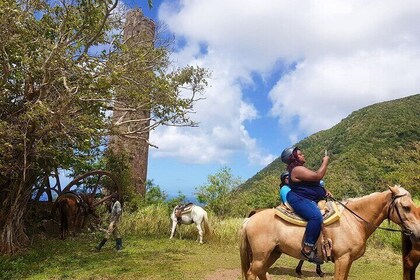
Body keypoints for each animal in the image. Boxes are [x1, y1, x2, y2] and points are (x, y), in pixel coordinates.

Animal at [240, 186, 420, 280]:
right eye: (406, 207)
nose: (418, 232)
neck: (353, 221)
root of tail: (250, 219)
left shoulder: (348, 261)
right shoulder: (342, 259)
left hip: (273, 253)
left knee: (261, 273)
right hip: (261, 255)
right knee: (251, 273)